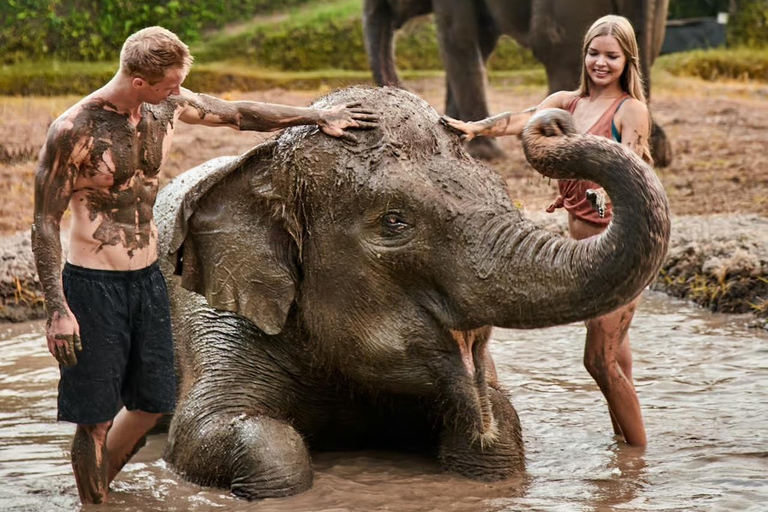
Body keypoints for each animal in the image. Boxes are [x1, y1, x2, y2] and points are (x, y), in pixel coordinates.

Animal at [154, 86, 670, 500]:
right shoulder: (215, 317)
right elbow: (207, 431)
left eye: (501, 192)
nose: (553, 121)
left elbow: (500, 425)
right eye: (394, 222)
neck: (261, 165)